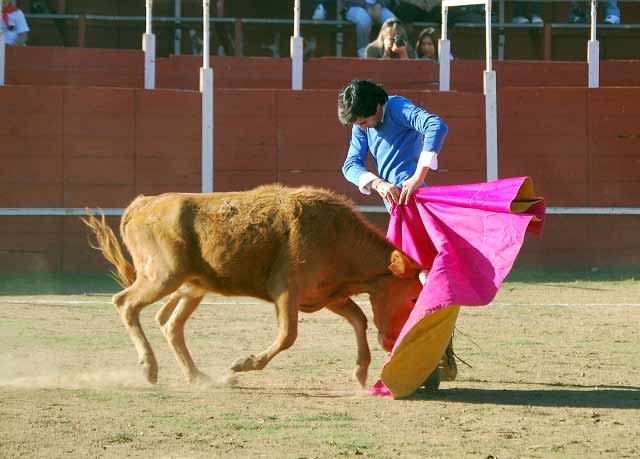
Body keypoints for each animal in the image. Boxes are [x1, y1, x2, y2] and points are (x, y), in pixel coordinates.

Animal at [85, 184, 424, 388]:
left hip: (190, 286)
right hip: (161, 276)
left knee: (170, 323)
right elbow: (288, 335)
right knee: (126, 303)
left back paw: (199, 377)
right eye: (411, 299)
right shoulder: (287, 292)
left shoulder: (327, 296)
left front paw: (360, 371)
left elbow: (359, 319)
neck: (338, 237)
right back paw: (149, 368)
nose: (392, 343)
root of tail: (144, 204)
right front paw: (242, 364)